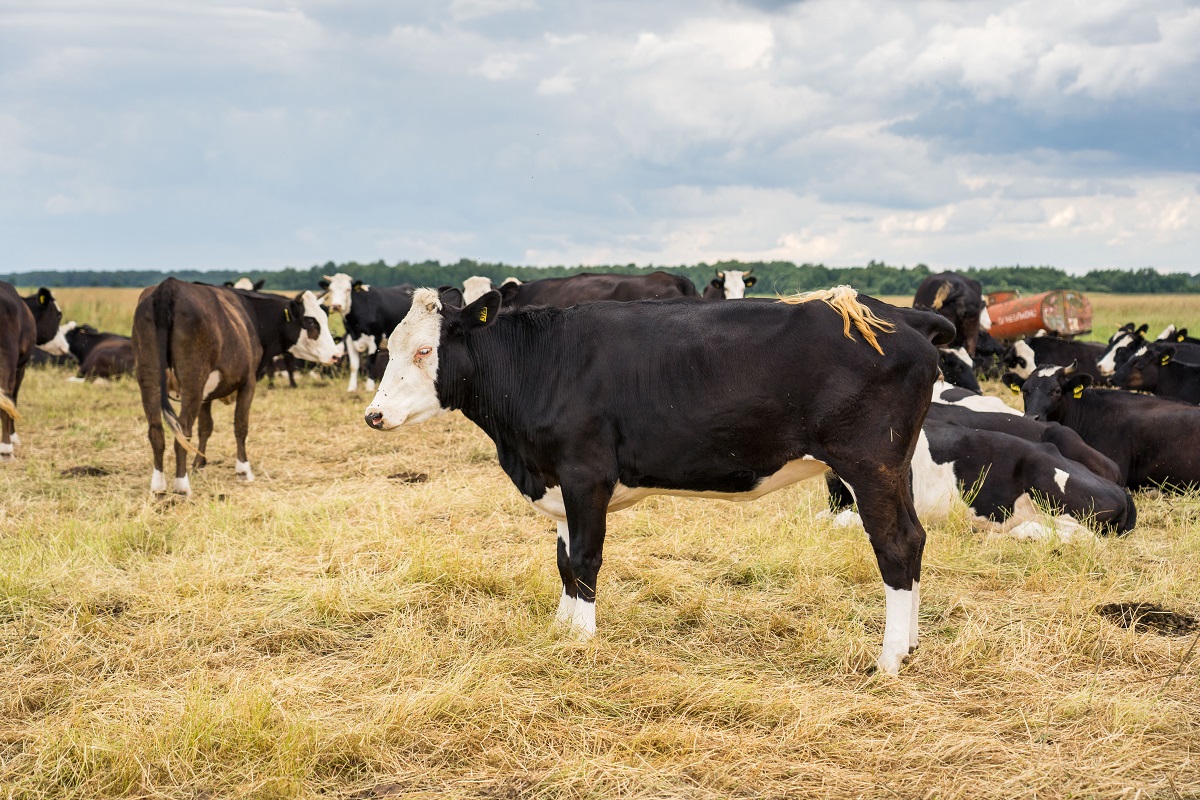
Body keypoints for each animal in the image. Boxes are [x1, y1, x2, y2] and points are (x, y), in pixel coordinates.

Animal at [132, 280, 338, 494]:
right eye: (311, 321)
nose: (335, 354)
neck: (253, 315)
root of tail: (168, 287)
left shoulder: (206, 394)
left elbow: (205, 428)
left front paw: (199, 464)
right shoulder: (248, 383)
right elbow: (240, 426)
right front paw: (243, 470)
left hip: (149, 380)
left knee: (156, 431)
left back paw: (158, 486)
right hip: (192, 383)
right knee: (183, 432)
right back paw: (181, 486)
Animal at [362, 287, 955, 676]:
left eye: (424, 350)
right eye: (390, 348)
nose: (374, 415)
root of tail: (899, 316)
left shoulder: (585, 474)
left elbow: (585, 559)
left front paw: (582, 640)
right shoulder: (559, 481)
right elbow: (562, 562)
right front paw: (560, 629)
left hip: (868, 464)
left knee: (894, 545)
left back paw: (888, 658)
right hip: (895, 469)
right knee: (915, 538)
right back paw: (912, 644)